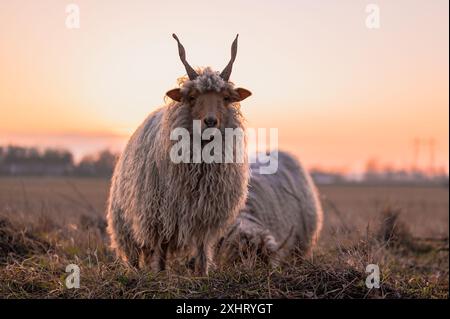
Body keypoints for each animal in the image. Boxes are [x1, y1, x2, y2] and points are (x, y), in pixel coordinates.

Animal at [107, 33, 251, 276]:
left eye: (226, 98)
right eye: (191, 97)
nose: (210, 122)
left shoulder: (205, 214)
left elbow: (201, 249)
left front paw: (202, 275)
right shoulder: (158, 213)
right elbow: (159, 249)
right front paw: (159, 275)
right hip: (125, 222)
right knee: (138, 253)